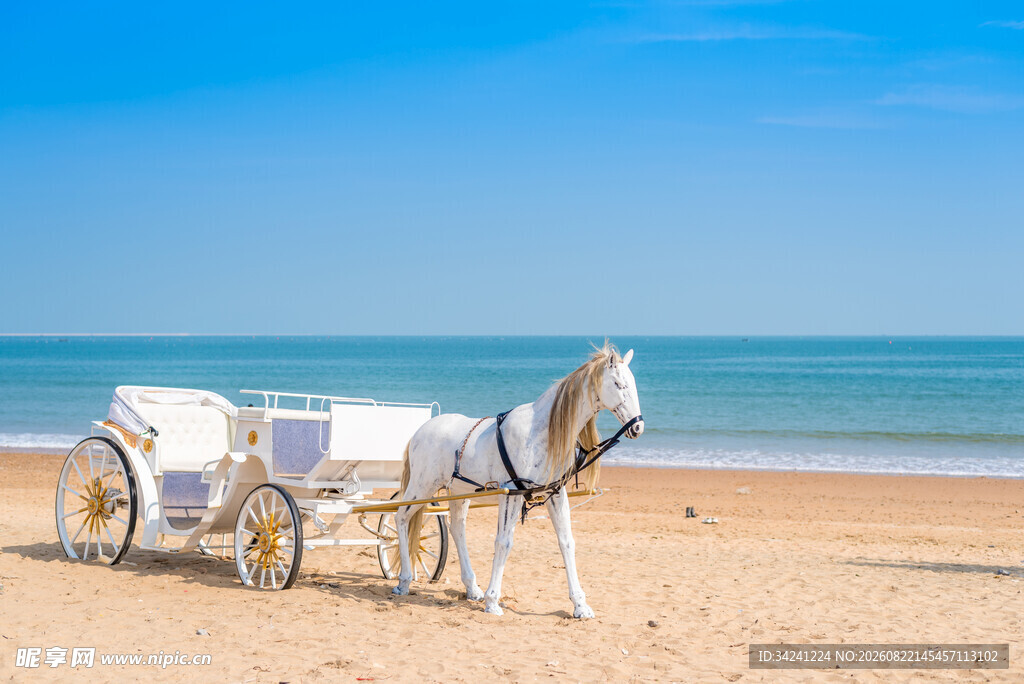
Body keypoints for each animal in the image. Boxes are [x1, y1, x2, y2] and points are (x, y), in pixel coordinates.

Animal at [392, 343, 644, 618]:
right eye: (618, 384)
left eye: (633, 383)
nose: (638, 427)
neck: (540, 431)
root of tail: (419, 432)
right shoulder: (511, 494)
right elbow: (504, 543)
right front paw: (492, 601)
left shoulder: (555, 493)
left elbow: (567, 542)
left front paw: (580, 605)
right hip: (422, 487)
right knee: (401, 517)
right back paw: (404, 580)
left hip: (459, 492)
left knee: (457, 528)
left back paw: (471, 588)